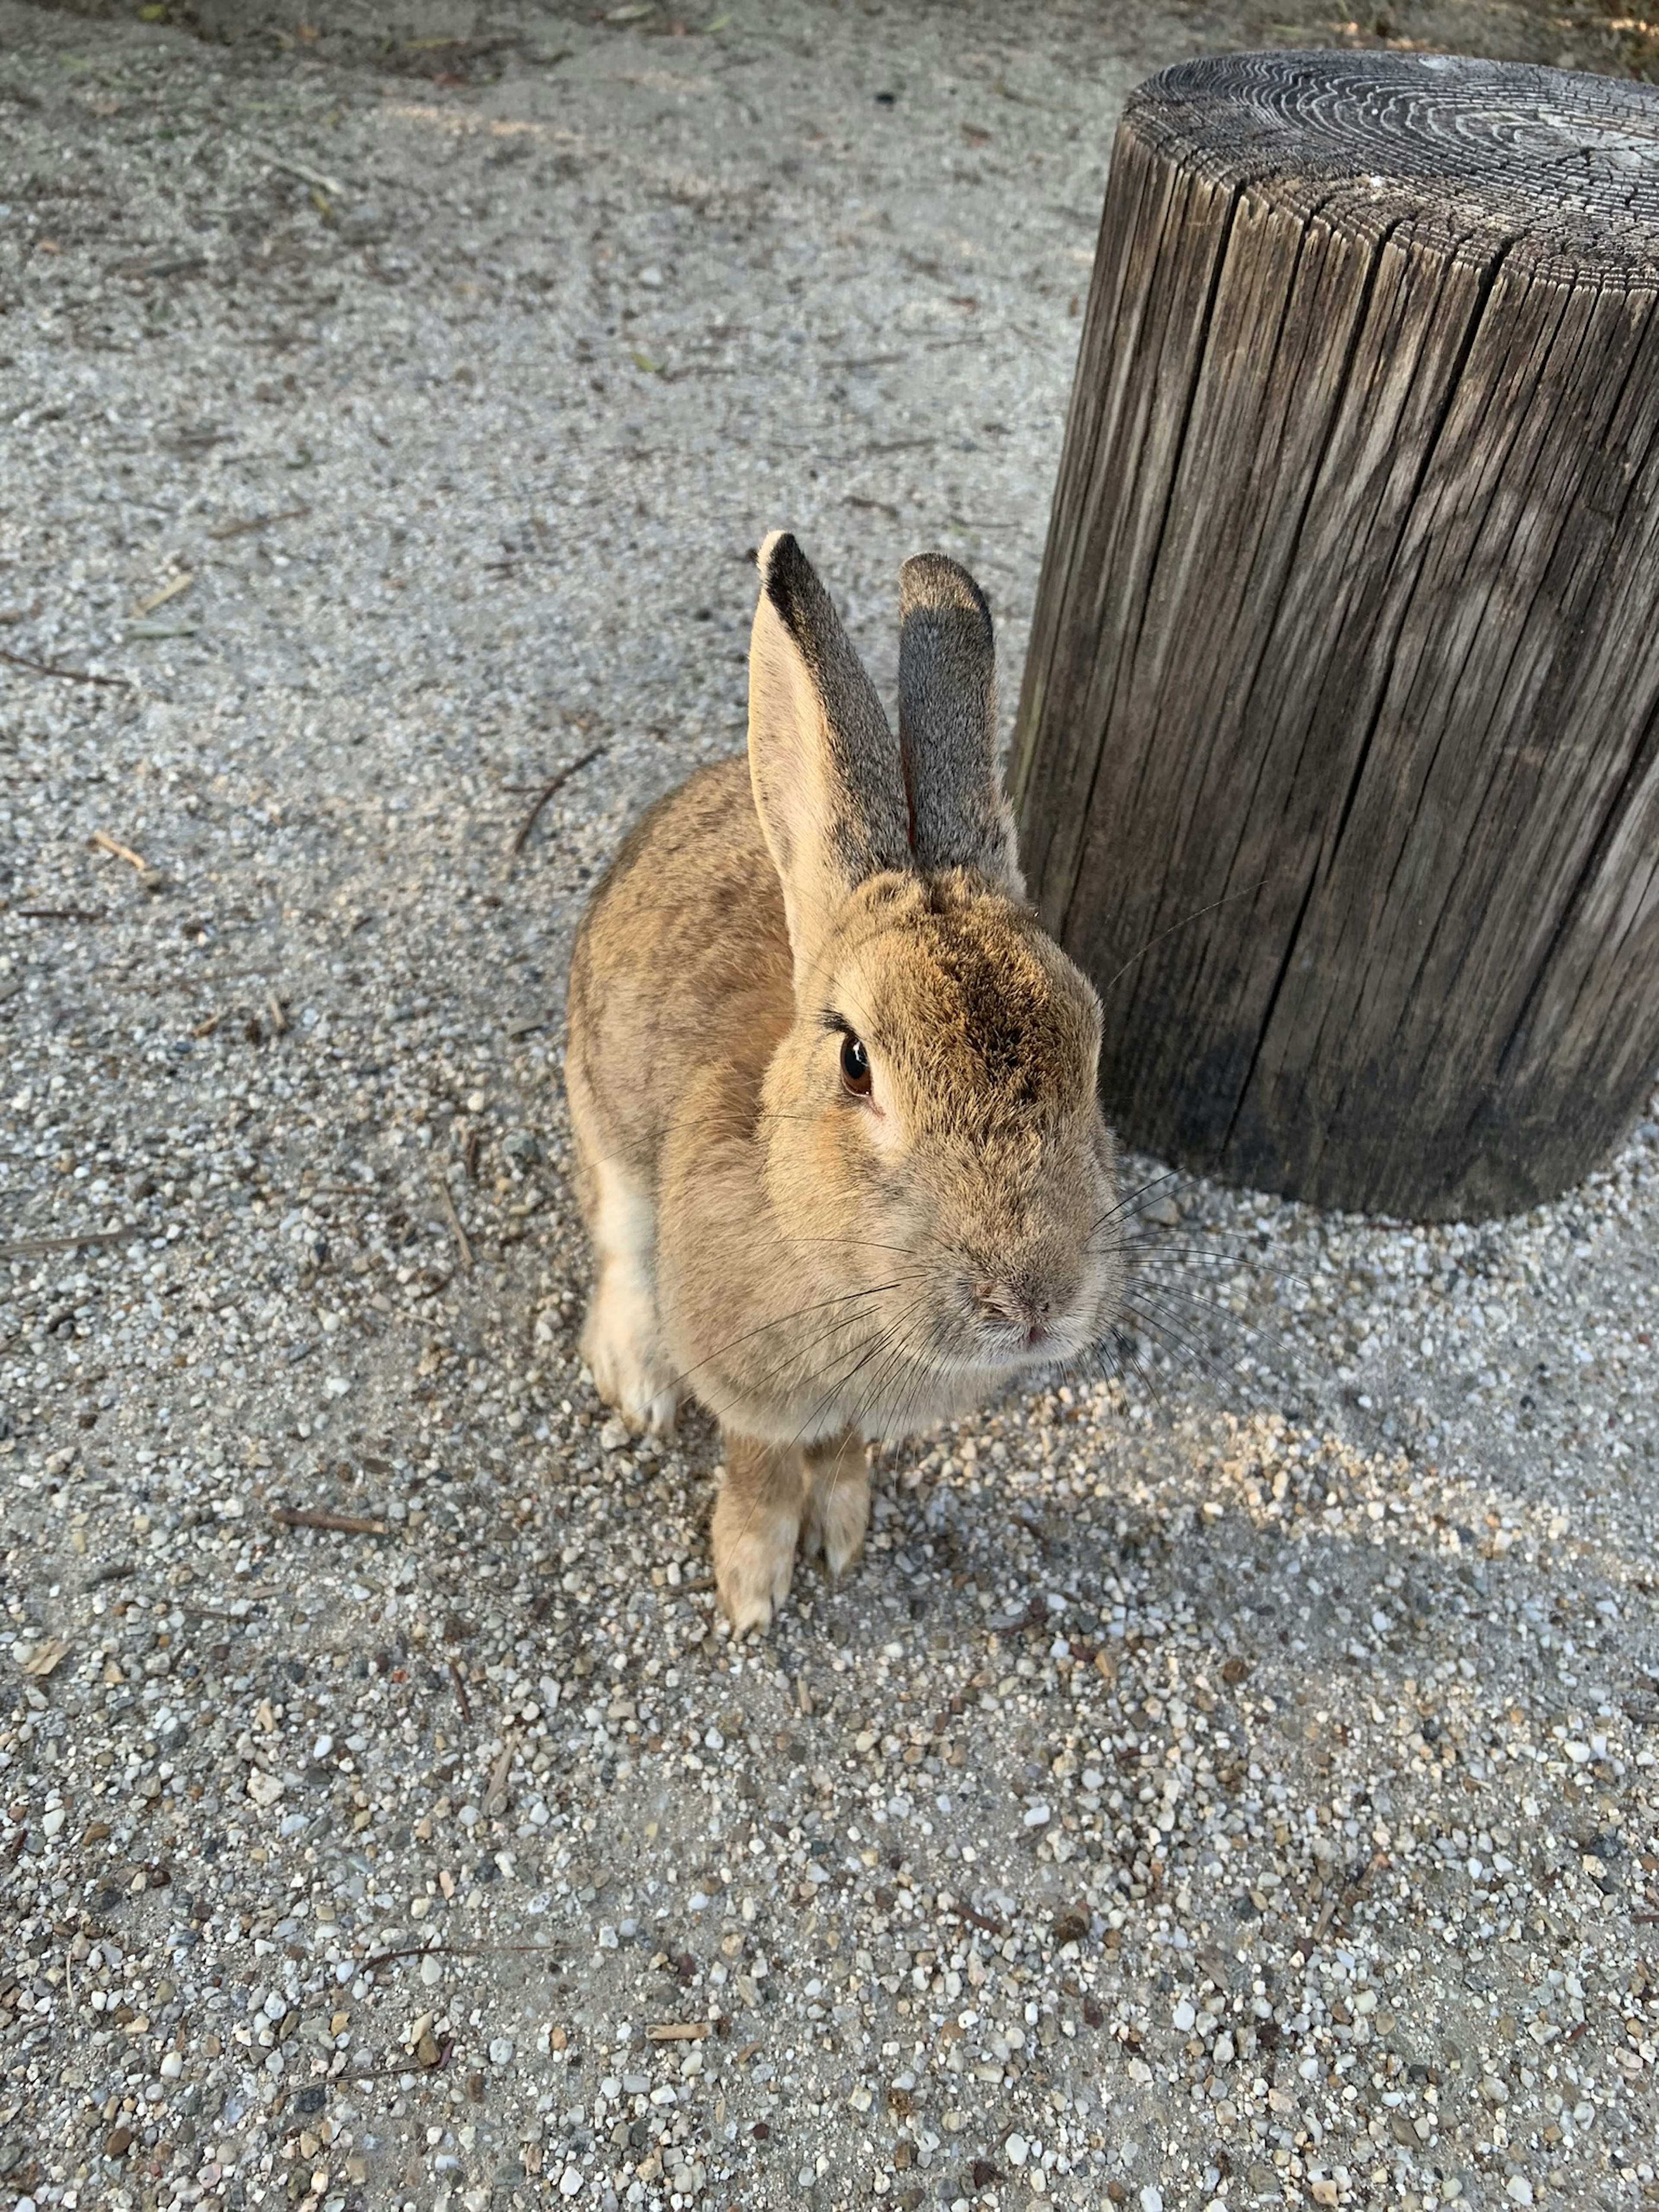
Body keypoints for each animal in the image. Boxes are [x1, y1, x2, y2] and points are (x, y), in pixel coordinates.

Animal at [566, 540, 1123, 1628]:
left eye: (1090, 1041)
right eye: (856, 1062)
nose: (1031, 1301)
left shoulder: (866, 1407)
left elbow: (845, 1449)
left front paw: (845, 1533)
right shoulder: (750, 1383)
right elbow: (758, 1465)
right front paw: (753, 1584)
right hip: (602, 1109)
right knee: (619, 1243)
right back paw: (637, 1382)